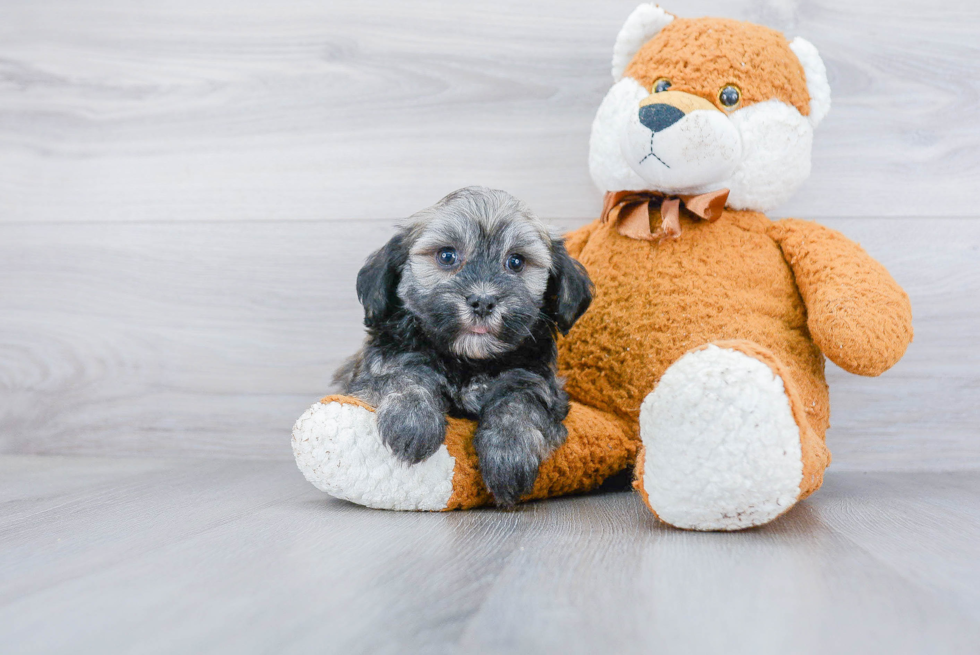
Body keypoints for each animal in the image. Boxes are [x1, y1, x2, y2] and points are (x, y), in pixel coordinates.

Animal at [336, 184, 592, 508]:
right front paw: (412, 419)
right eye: (447, 256)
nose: (482, 301)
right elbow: (402, 375)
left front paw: (509, 451)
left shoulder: (536, 380)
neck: (468, 361)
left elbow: (520, 401)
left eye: (516, 262)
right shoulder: (383, 361)